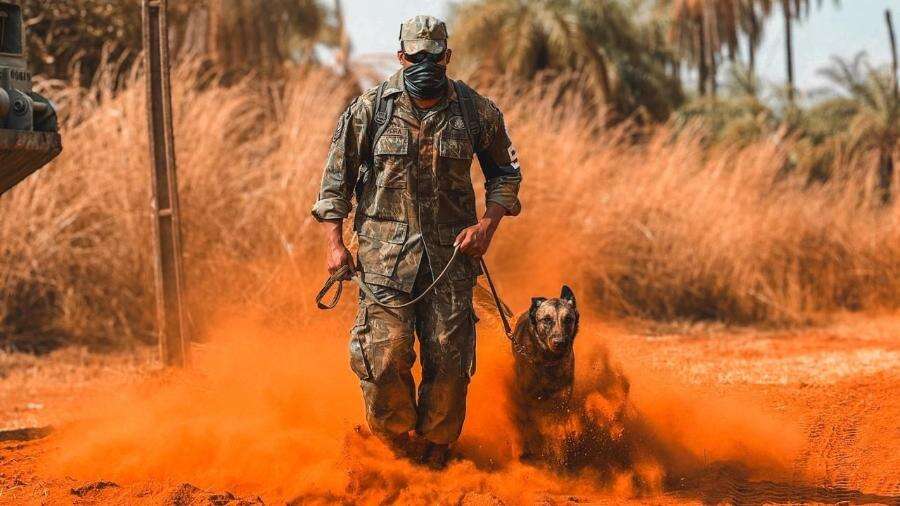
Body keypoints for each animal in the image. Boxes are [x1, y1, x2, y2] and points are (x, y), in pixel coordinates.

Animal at [510, 284, 580, 466]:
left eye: (568, 319)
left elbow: (556, 428)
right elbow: (528, 424)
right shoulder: (526, 398)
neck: (548, 361)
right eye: (547, 319)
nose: (559, 343)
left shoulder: (561, 399)